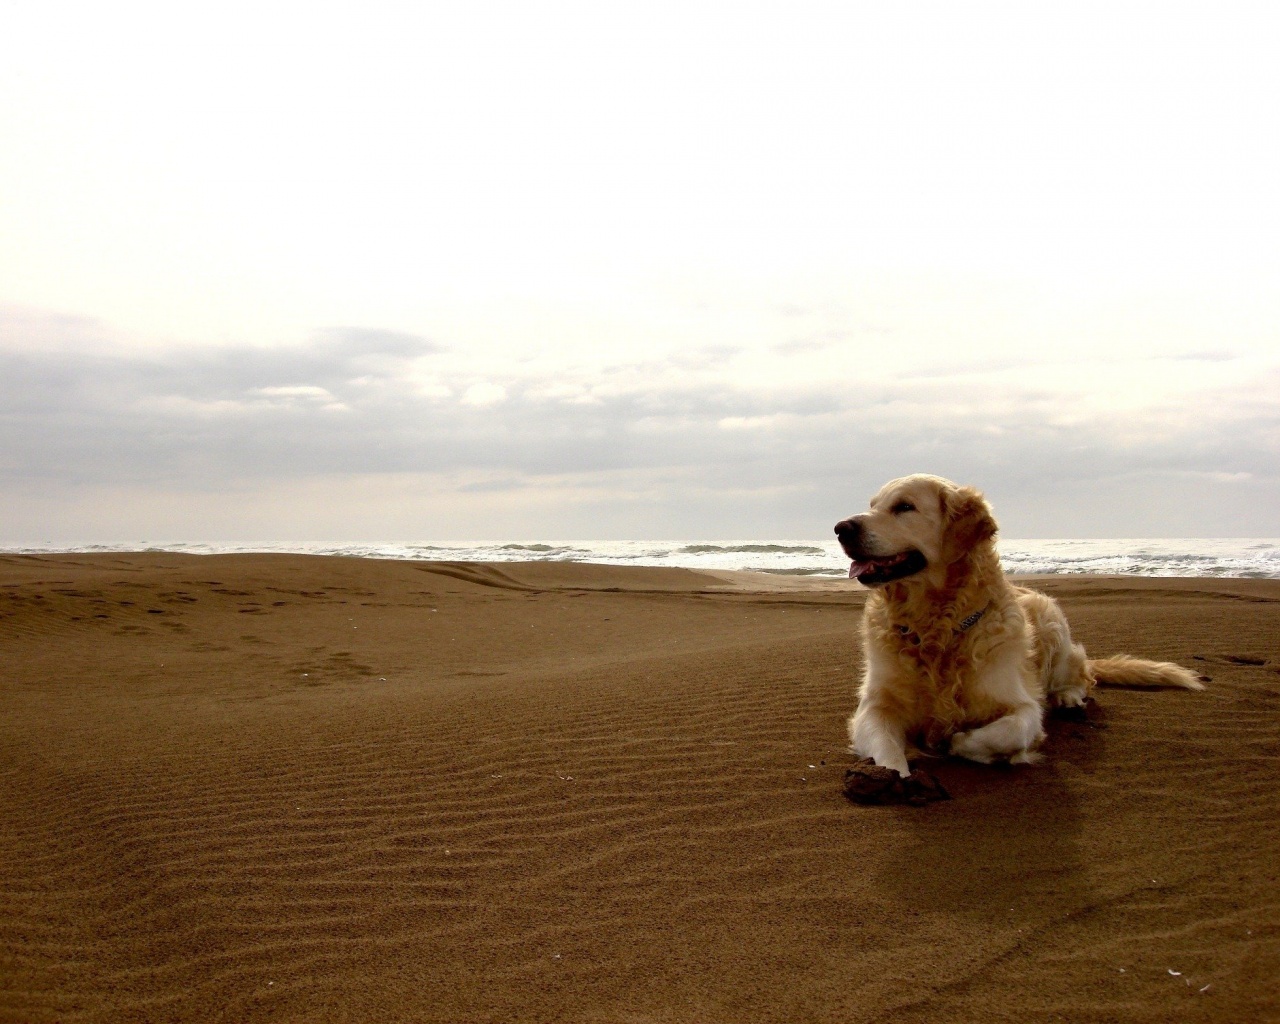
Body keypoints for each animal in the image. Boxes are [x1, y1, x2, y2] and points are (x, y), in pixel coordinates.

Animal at [835, 474, 1203, 777]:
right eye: (873, 505)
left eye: (904, 506)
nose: (841, 528)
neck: (937, 629)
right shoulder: (874, 707)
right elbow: (887, 748)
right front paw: (894, 778)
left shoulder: (1022, 705)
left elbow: (1004, 731)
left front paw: (957, 741)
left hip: (1054, 624)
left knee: (1082, 675)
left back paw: (1068, 698)